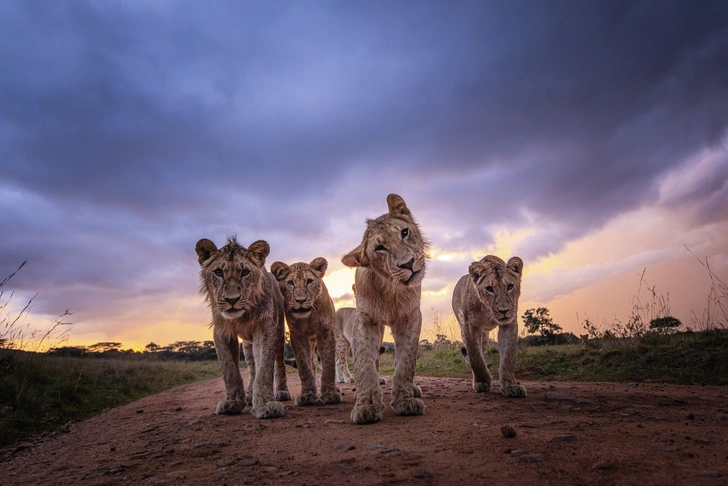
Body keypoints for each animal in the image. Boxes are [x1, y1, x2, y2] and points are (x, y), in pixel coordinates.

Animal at [199, 236, 292, 418]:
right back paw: (249, 394)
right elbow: (230, 370)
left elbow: (265, 368)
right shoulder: (222, 332)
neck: (242, 316)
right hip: (247, 345)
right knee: (251, 367)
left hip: (279, 334)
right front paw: (233, 402)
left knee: (279, 363)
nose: (232, 300)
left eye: (244, 272)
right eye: (218, 272)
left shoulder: (265, 328)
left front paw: (265, 404)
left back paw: (282, 392)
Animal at [272, 258, 342, 406]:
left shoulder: (326, 332)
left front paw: (330, 394)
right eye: (290, 282)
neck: (308, 316)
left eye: (309, 281)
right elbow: (304, 366)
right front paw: (307, 395)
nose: (300, 300)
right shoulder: (297, 335)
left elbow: (329, 365)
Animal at [342, 194, 426, 426]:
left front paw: (405, 400)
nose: (408, 264)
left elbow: (405, 360)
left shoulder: (410, 317)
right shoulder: (366, 320)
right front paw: (366, 405)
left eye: (404, 233)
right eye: (380, 248)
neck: (391, 290)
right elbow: (365, 362)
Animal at [452, 256, 528, 396]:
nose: (504, 311)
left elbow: (508, 356)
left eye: (510, 286)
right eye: (489, 289)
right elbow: (475, 357)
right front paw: (482, 382)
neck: (487, 311)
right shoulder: (468, 326)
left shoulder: (509, 323)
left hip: (485, 337)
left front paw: (510, 386)